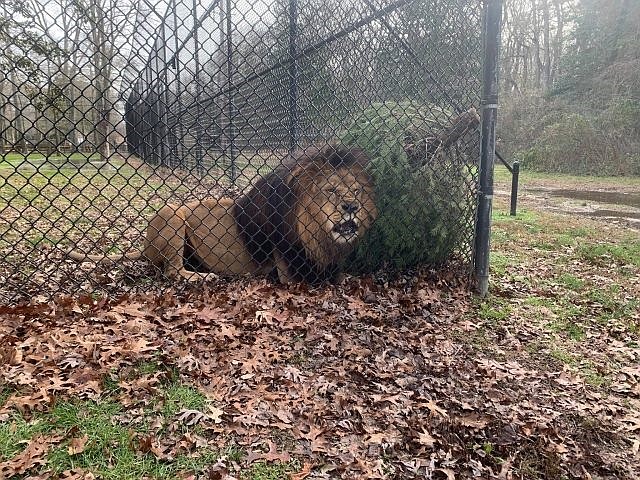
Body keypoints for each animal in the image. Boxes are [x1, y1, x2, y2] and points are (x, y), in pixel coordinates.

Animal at [65, 144, 376, 284]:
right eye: (331, 190)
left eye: (357, 191)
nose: (352, 207)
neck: (315, 233)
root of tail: (144, 246)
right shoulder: (288, 271)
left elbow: (341, 274)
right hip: (172, 213)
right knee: (172, 271)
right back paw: (204, 277)